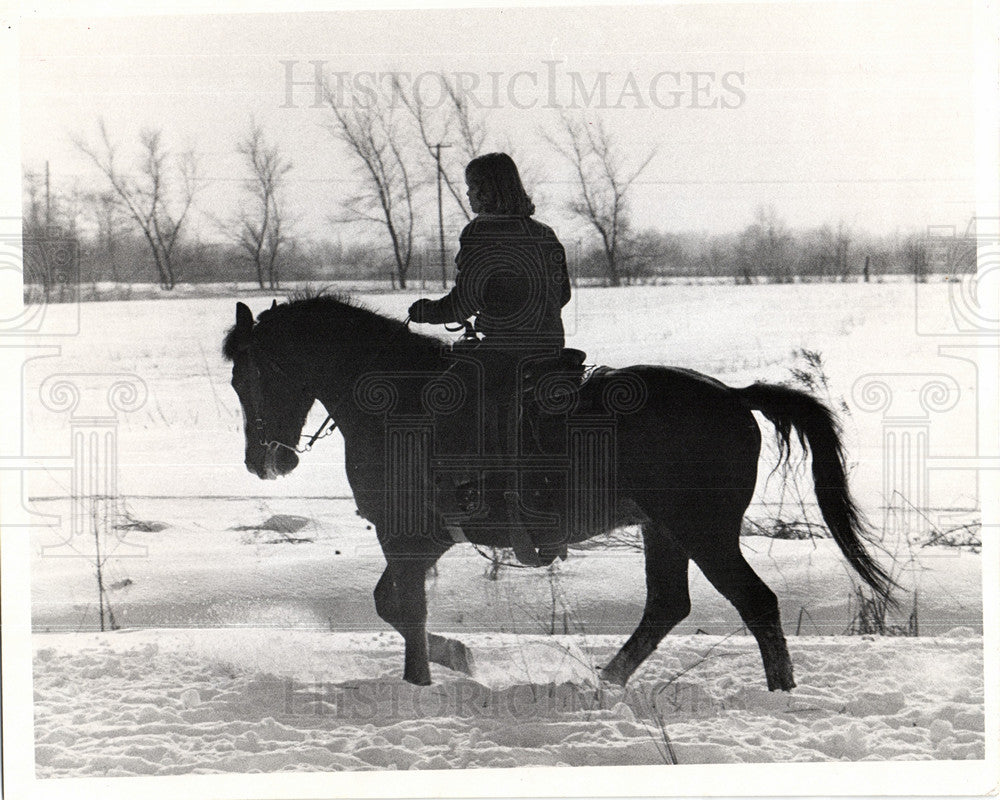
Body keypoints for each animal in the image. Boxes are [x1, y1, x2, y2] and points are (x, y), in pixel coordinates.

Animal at [223, 290, 896, 692]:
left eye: (254, 374)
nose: (263, 462)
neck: (396, 398)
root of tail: (733, 394)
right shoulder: (420, 543)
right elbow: (394, 607)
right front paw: (456, 658)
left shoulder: (408, 538)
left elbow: (402, 609)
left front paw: (425, 679)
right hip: (664, 530)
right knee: (666, 606)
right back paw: (607, 680)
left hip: (703, 530)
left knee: (756, 603)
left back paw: (779, 692)